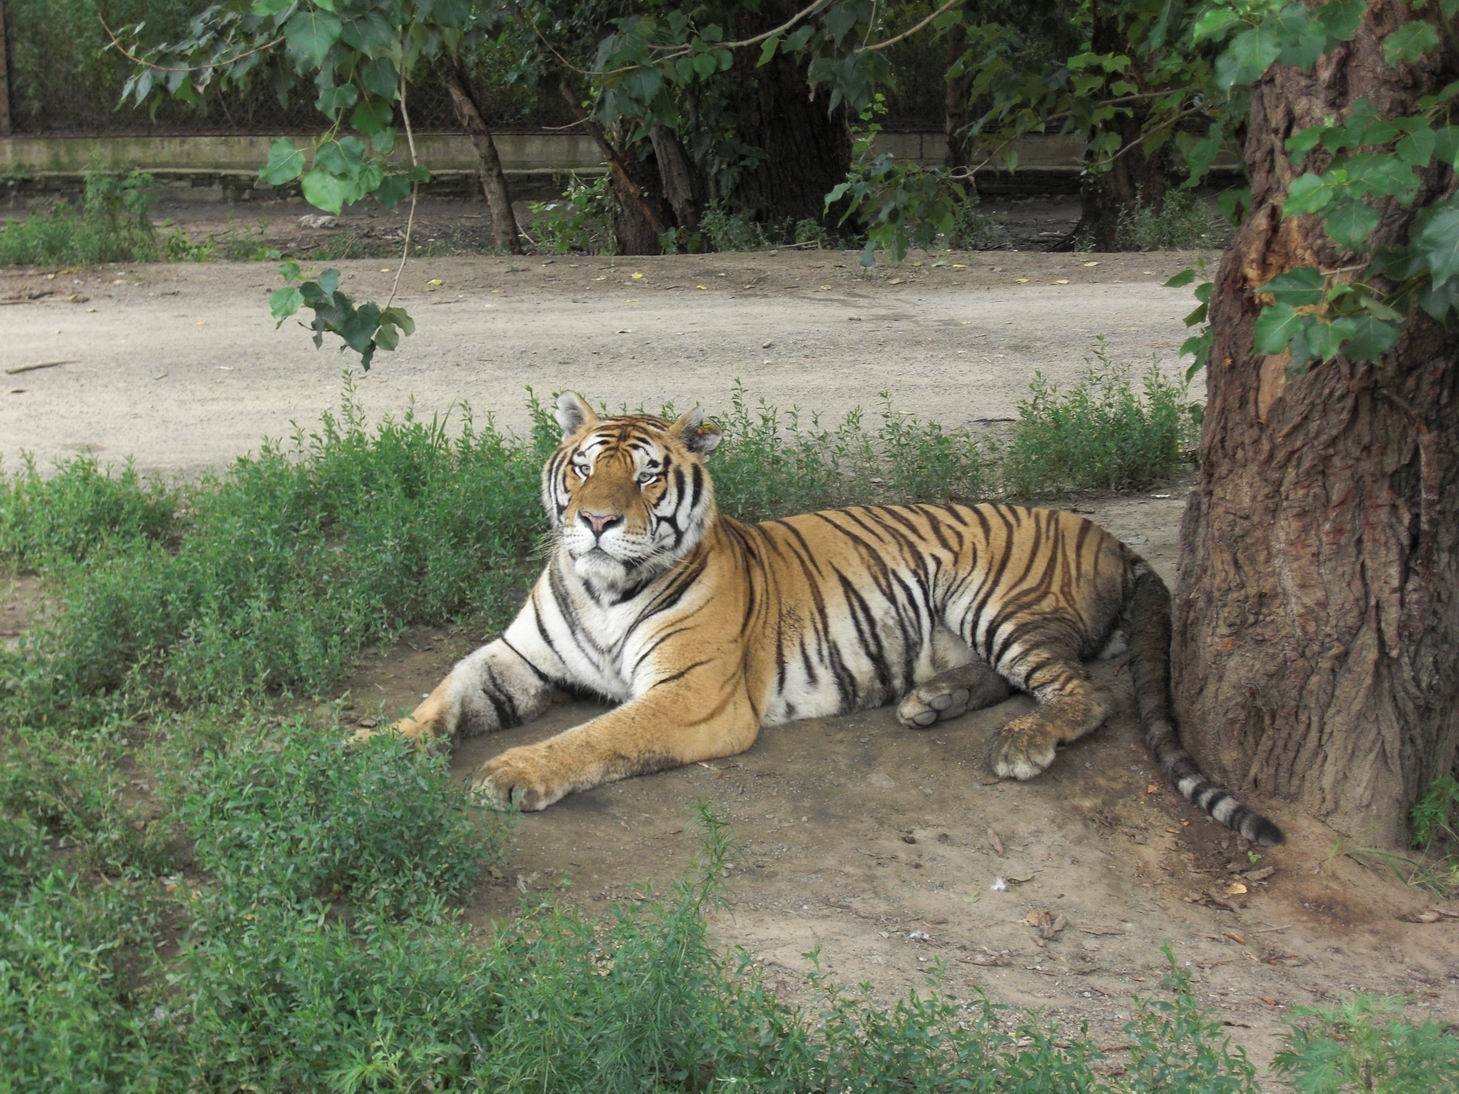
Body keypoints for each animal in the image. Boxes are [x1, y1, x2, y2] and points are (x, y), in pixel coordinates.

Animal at [373, 390, 1278, 846]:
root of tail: (1103, 529)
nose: (594, 522)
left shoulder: (692, 697)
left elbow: (594, 736)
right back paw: (930, 702)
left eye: (647, 476)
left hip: (993, 599)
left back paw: (1019, 745)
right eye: (584, 467)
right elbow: (438, 698)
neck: (601, 587)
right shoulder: (513, 657)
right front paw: (364, 751)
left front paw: (514, 773)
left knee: (1086, 691)